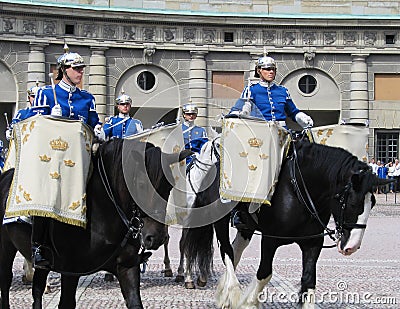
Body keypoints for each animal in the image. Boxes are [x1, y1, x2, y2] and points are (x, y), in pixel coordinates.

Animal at [0, 138, 191, 306]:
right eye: (141, 184)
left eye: (169, 187)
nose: (156, 237)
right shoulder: (71, 271)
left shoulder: (127, 267)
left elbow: (135, 302)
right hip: (7, 247)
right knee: (6, 281)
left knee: (37, 290)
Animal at [184, 140, 390, 308]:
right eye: (353, 203)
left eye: (373, 204)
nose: (352, 247)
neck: (298, 190)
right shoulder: (270, 239)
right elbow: (264, 272)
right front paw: (248, 302)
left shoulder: (312, 244)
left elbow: (308, 281)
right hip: (219, 221)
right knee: (226, 250)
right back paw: (231, 293)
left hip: (246, 226)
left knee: (236, 250)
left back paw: (224, 291)